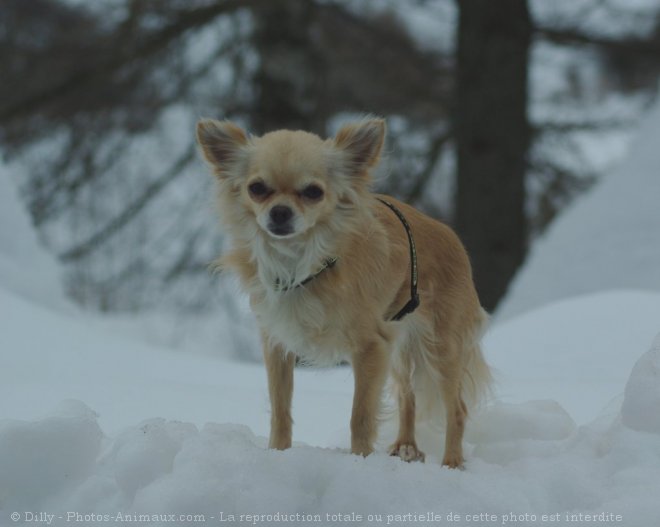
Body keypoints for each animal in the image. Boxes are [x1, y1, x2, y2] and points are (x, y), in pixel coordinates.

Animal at [196, 117, 490, 468]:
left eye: (313, 192)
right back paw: (406, 446)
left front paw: (360, 461)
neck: (302, 263)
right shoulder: (277, 345)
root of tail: (450, 235)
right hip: (401, 344)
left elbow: (360, 416)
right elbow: (281, 411)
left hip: (440, 347)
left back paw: (451, 464)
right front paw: (278, 455)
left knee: (456, 409)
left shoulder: (371, 348)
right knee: (407, 395)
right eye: (257, 188)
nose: (279, 212)